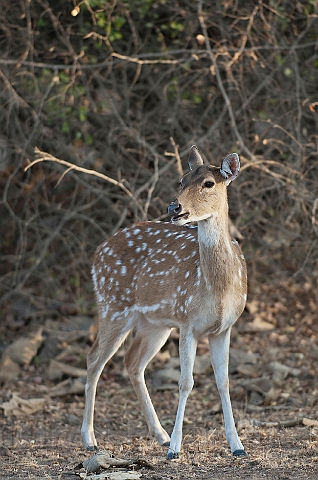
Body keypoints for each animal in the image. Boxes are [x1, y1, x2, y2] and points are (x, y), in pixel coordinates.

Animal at [80, 145, 247, 458]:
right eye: (181, 180)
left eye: (209, 183)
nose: (174, 208)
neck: (218, 288)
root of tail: (97, 252)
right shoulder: (188, 322)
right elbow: (185, 382)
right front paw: (176, 448)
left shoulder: (224, 328)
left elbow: (224, 381)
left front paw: (237, 445)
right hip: (113, 306)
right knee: (94, 358)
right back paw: (89, 438)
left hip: (154, 324)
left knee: (132, 362)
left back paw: (159, 434)